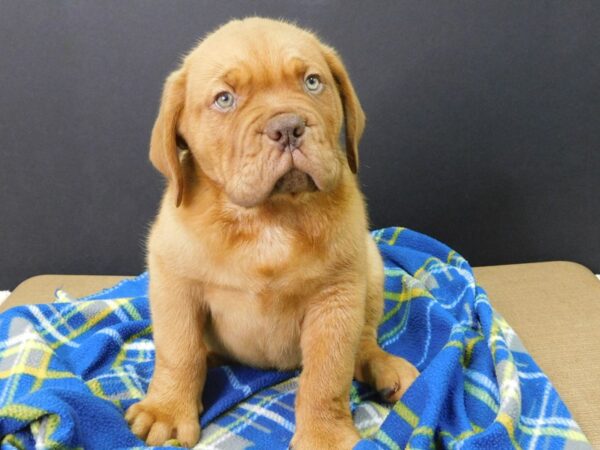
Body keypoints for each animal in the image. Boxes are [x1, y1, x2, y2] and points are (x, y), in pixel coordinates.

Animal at [126, 17, 418, 450]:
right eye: (224, 99)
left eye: (312, 82)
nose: (287, 127)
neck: (269, 217)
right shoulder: (173, 281)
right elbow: (178, 351)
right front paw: (167, 409)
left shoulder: (336, 298)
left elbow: (327, 374)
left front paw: (324, 435)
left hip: (372, 268)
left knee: (364, 339)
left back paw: (383, 367)